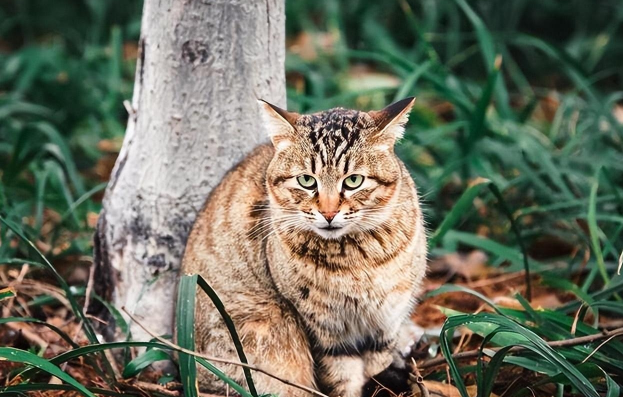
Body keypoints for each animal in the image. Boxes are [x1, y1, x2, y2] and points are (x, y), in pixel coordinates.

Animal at [180, 96, 428, 396]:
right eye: (306, 180)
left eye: (354, 181)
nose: (329, 213)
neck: (356, 261)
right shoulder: (325, 330)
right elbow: (343, 378)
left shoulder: (386, 321)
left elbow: (378, 364)